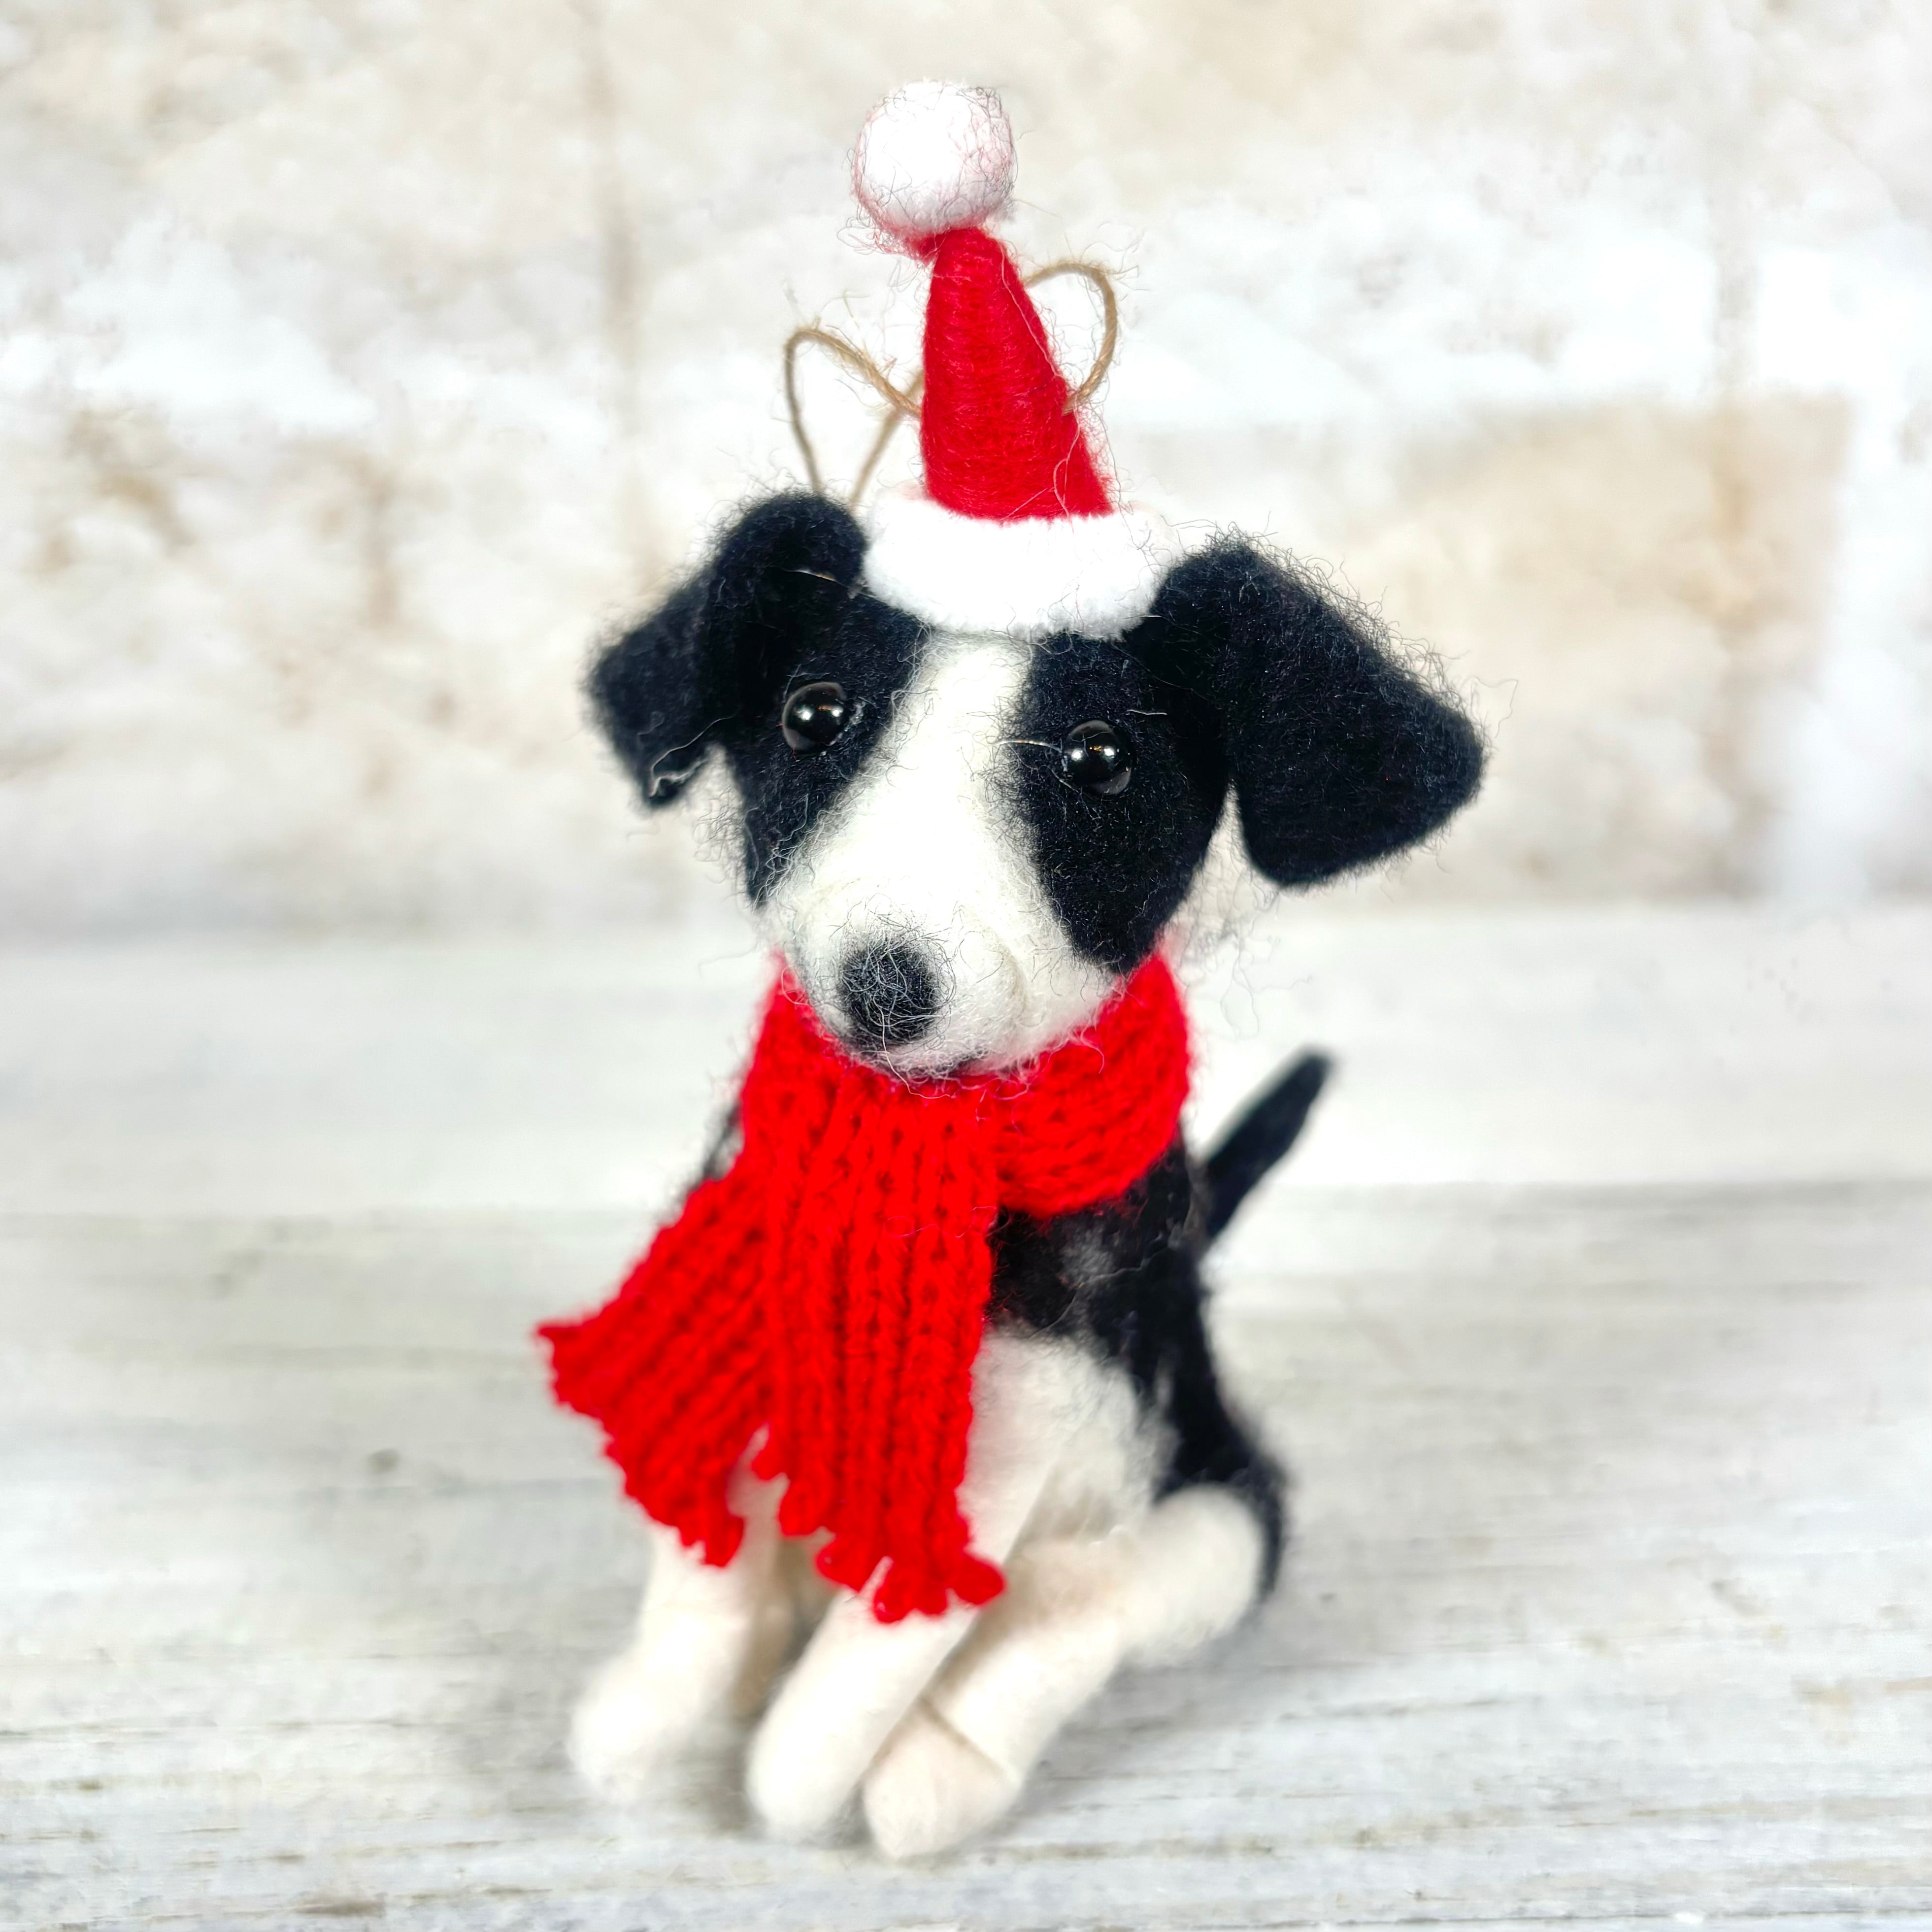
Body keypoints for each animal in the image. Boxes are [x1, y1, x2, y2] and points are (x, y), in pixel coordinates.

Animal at [564, 495, 1484, 1855]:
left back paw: (937, 1768)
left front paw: (794, 1779)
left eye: (1099, 763)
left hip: (1219, 1513)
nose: (886, 983)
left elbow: (891, 1628)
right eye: (812, 715)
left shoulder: (1000, 1441)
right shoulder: (737, 1317)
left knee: (1082, 1600)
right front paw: (650, 1708)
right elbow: (701, 1547)